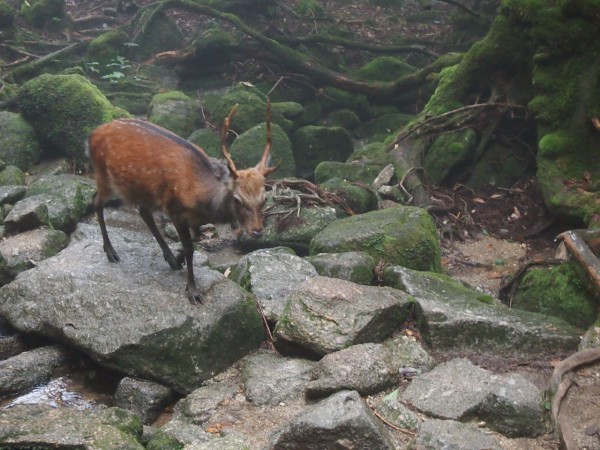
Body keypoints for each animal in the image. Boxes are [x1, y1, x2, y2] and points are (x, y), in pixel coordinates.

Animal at [86, 100, 276, 304]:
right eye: (237, 199)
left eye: (264, 198)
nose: (257, 231)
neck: (201, 199)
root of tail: (91, 135)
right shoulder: (176, 211)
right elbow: (190, 248)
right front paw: (193, 291)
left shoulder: (192, 218)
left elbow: (195, 240)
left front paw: (178, 258)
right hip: (105, 177)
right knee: (96, 201)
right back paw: (111, 252)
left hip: (144, 191)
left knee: (143, 212)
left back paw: (170, 258)